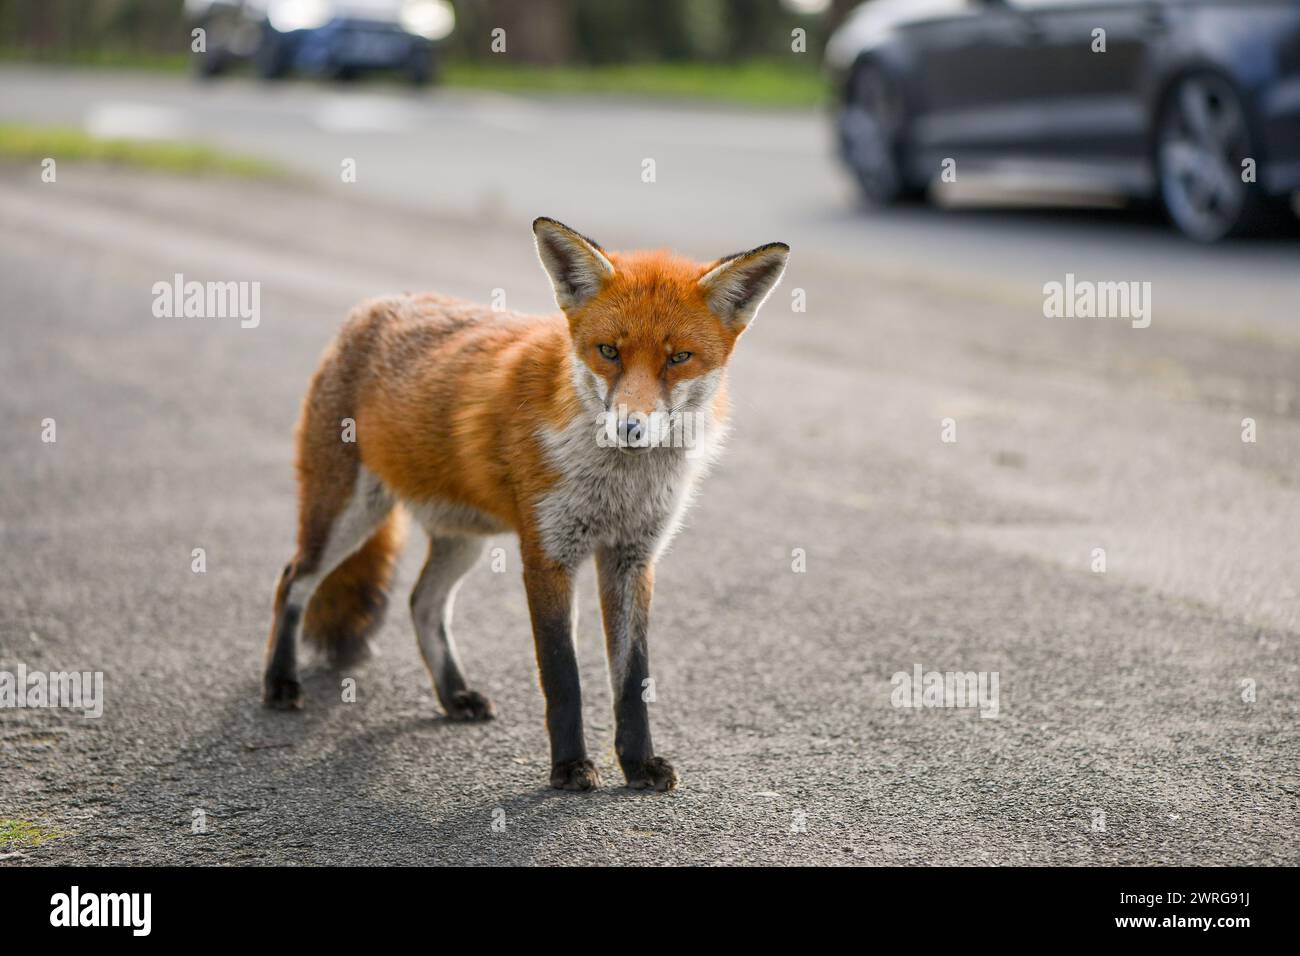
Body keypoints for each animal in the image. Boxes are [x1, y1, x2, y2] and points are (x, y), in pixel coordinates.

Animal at [266, 218, 780, 790]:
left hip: (461, 538)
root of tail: (373, 307)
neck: (618, 487)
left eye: (678, 357)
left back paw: (454, 696)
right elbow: (563, 674)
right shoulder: (548, 554)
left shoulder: (632, 558)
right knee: (294, 580)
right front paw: (570, 767)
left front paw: (639, 763)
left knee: (422, 603)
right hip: (346, 515)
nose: (630, 429)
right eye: (609, 351)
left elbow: (633, 678)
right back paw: (281, 683)